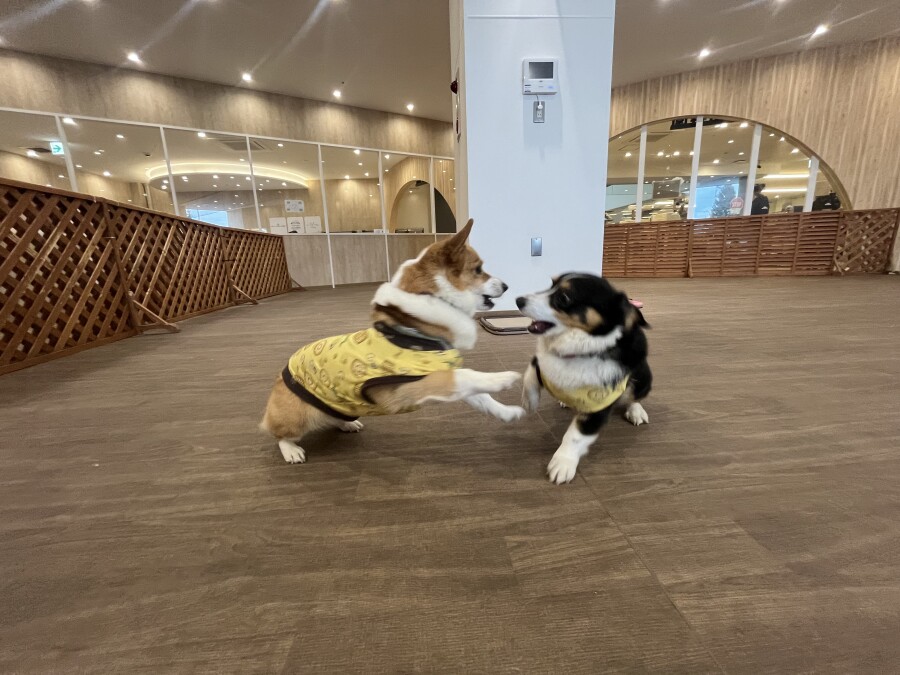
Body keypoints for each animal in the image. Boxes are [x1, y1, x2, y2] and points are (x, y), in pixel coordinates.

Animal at [260, 219, 525, 464]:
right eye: (479, 269)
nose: (506, 286)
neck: (416, 327)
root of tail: (279, 377)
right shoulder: (413, 386)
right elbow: (468, 376)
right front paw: (505, 378)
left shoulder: (442, 377)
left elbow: (480, 395)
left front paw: (508, 412)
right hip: (297, 417)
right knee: (277, 433)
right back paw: (291, 450)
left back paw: (347, 424)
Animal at [517, 274, 652, 484]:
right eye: (551, 284)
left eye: (563, 298)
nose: (518, 300)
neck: (575, 351)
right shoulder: (540, 361)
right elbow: (529, 374)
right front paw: (529, 402)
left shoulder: (599, 406)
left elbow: (575, 436)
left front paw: (562, 463)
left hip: (642, 377)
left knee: (633, 396)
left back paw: (636, 411)